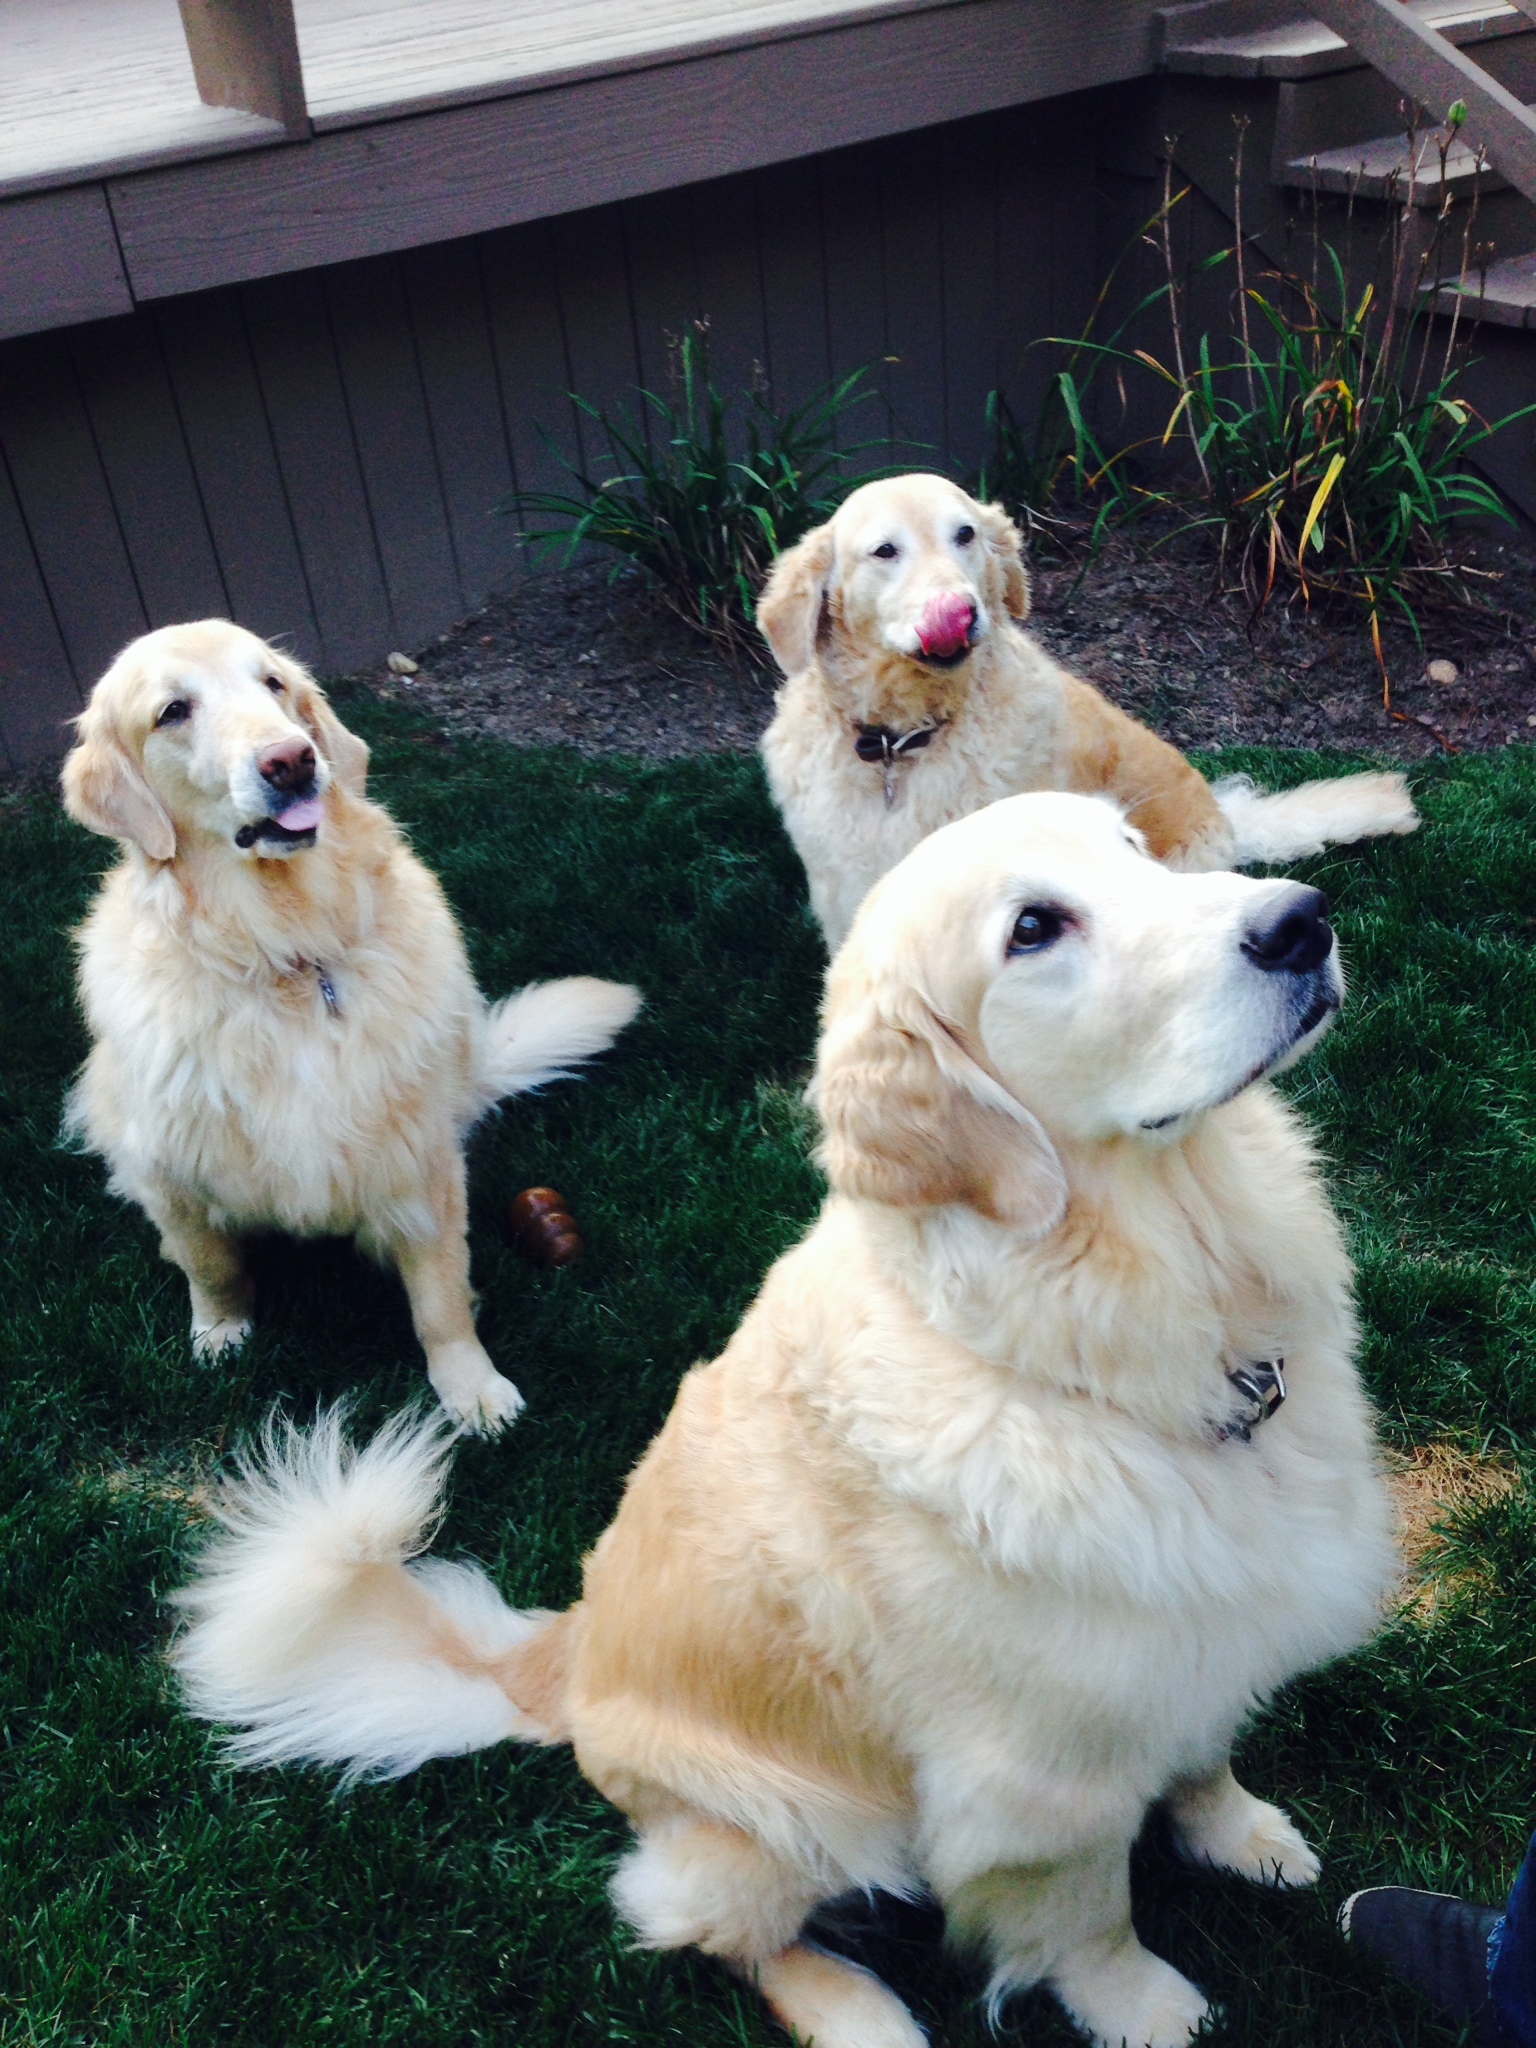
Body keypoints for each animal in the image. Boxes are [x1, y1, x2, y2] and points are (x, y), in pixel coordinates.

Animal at [62, 620, 640, 1433]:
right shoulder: (169, 1169)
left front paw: (470, 1387)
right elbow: (211, 1265)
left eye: (272, 683)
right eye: (173, 711)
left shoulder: (419, 1157)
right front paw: (219, 1334)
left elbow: (438, 1295)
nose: (292, 759)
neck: (288, 954)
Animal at [171, 790, 1397, 2048]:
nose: (1302, 921)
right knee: (709, 1930)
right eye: (1034, 929)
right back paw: (861, 2010)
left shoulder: (1191, 1644)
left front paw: (1240, 1829)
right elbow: (1087, 1912)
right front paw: (1144, 2007)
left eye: (1137, 850)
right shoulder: (1039, 1777)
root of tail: (558, 1658)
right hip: (783, 1824)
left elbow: (1204, 1751)